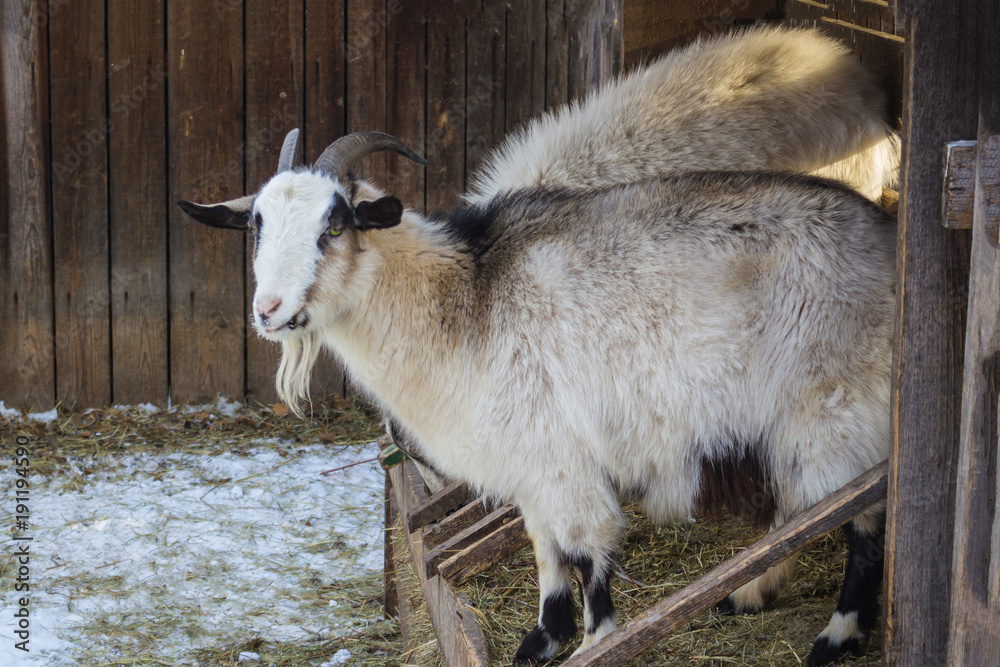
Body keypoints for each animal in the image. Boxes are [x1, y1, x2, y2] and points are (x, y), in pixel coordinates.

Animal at [179, 128, 894, 665]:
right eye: (258, 223)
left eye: (335, 224)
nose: (269, 310)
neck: (463, 299)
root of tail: (887, 236)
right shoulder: (530, 455)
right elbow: (543, 543)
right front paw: (544, 636)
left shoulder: (560, 451)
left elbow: (586, 545)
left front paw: (597, 637)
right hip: (796, 420)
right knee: (799, 505)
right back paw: (746, 594)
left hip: (840, 406)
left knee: (860, 515)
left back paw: (837, 636)